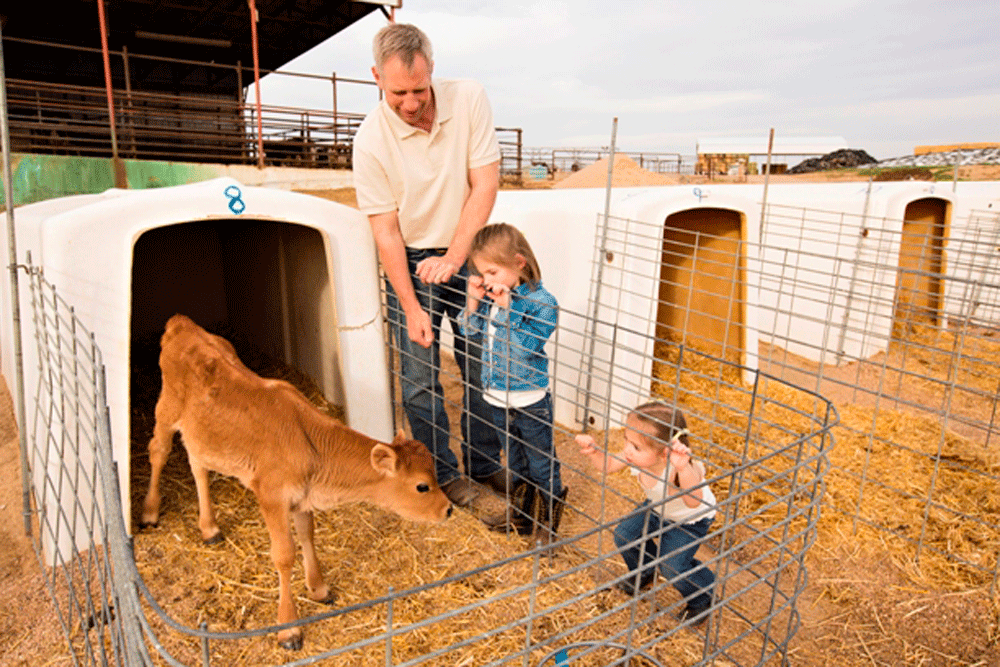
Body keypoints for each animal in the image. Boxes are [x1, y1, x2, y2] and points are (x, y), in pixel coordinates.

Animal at [141, 316, 454, 648]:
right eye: (422, 486)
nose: (447, 509)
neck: (309, 444)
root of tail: (182, 324)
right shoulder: (271, 496)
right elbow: (284, 555)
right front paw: (288, 627)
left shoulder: (302, 497)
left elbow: (307, 536)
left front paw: (318, 588)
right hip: (166, 408)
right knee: (158, 451)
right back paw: (149, 512)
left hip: (204, 434)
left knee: (198, 465)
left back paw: (209, 527)